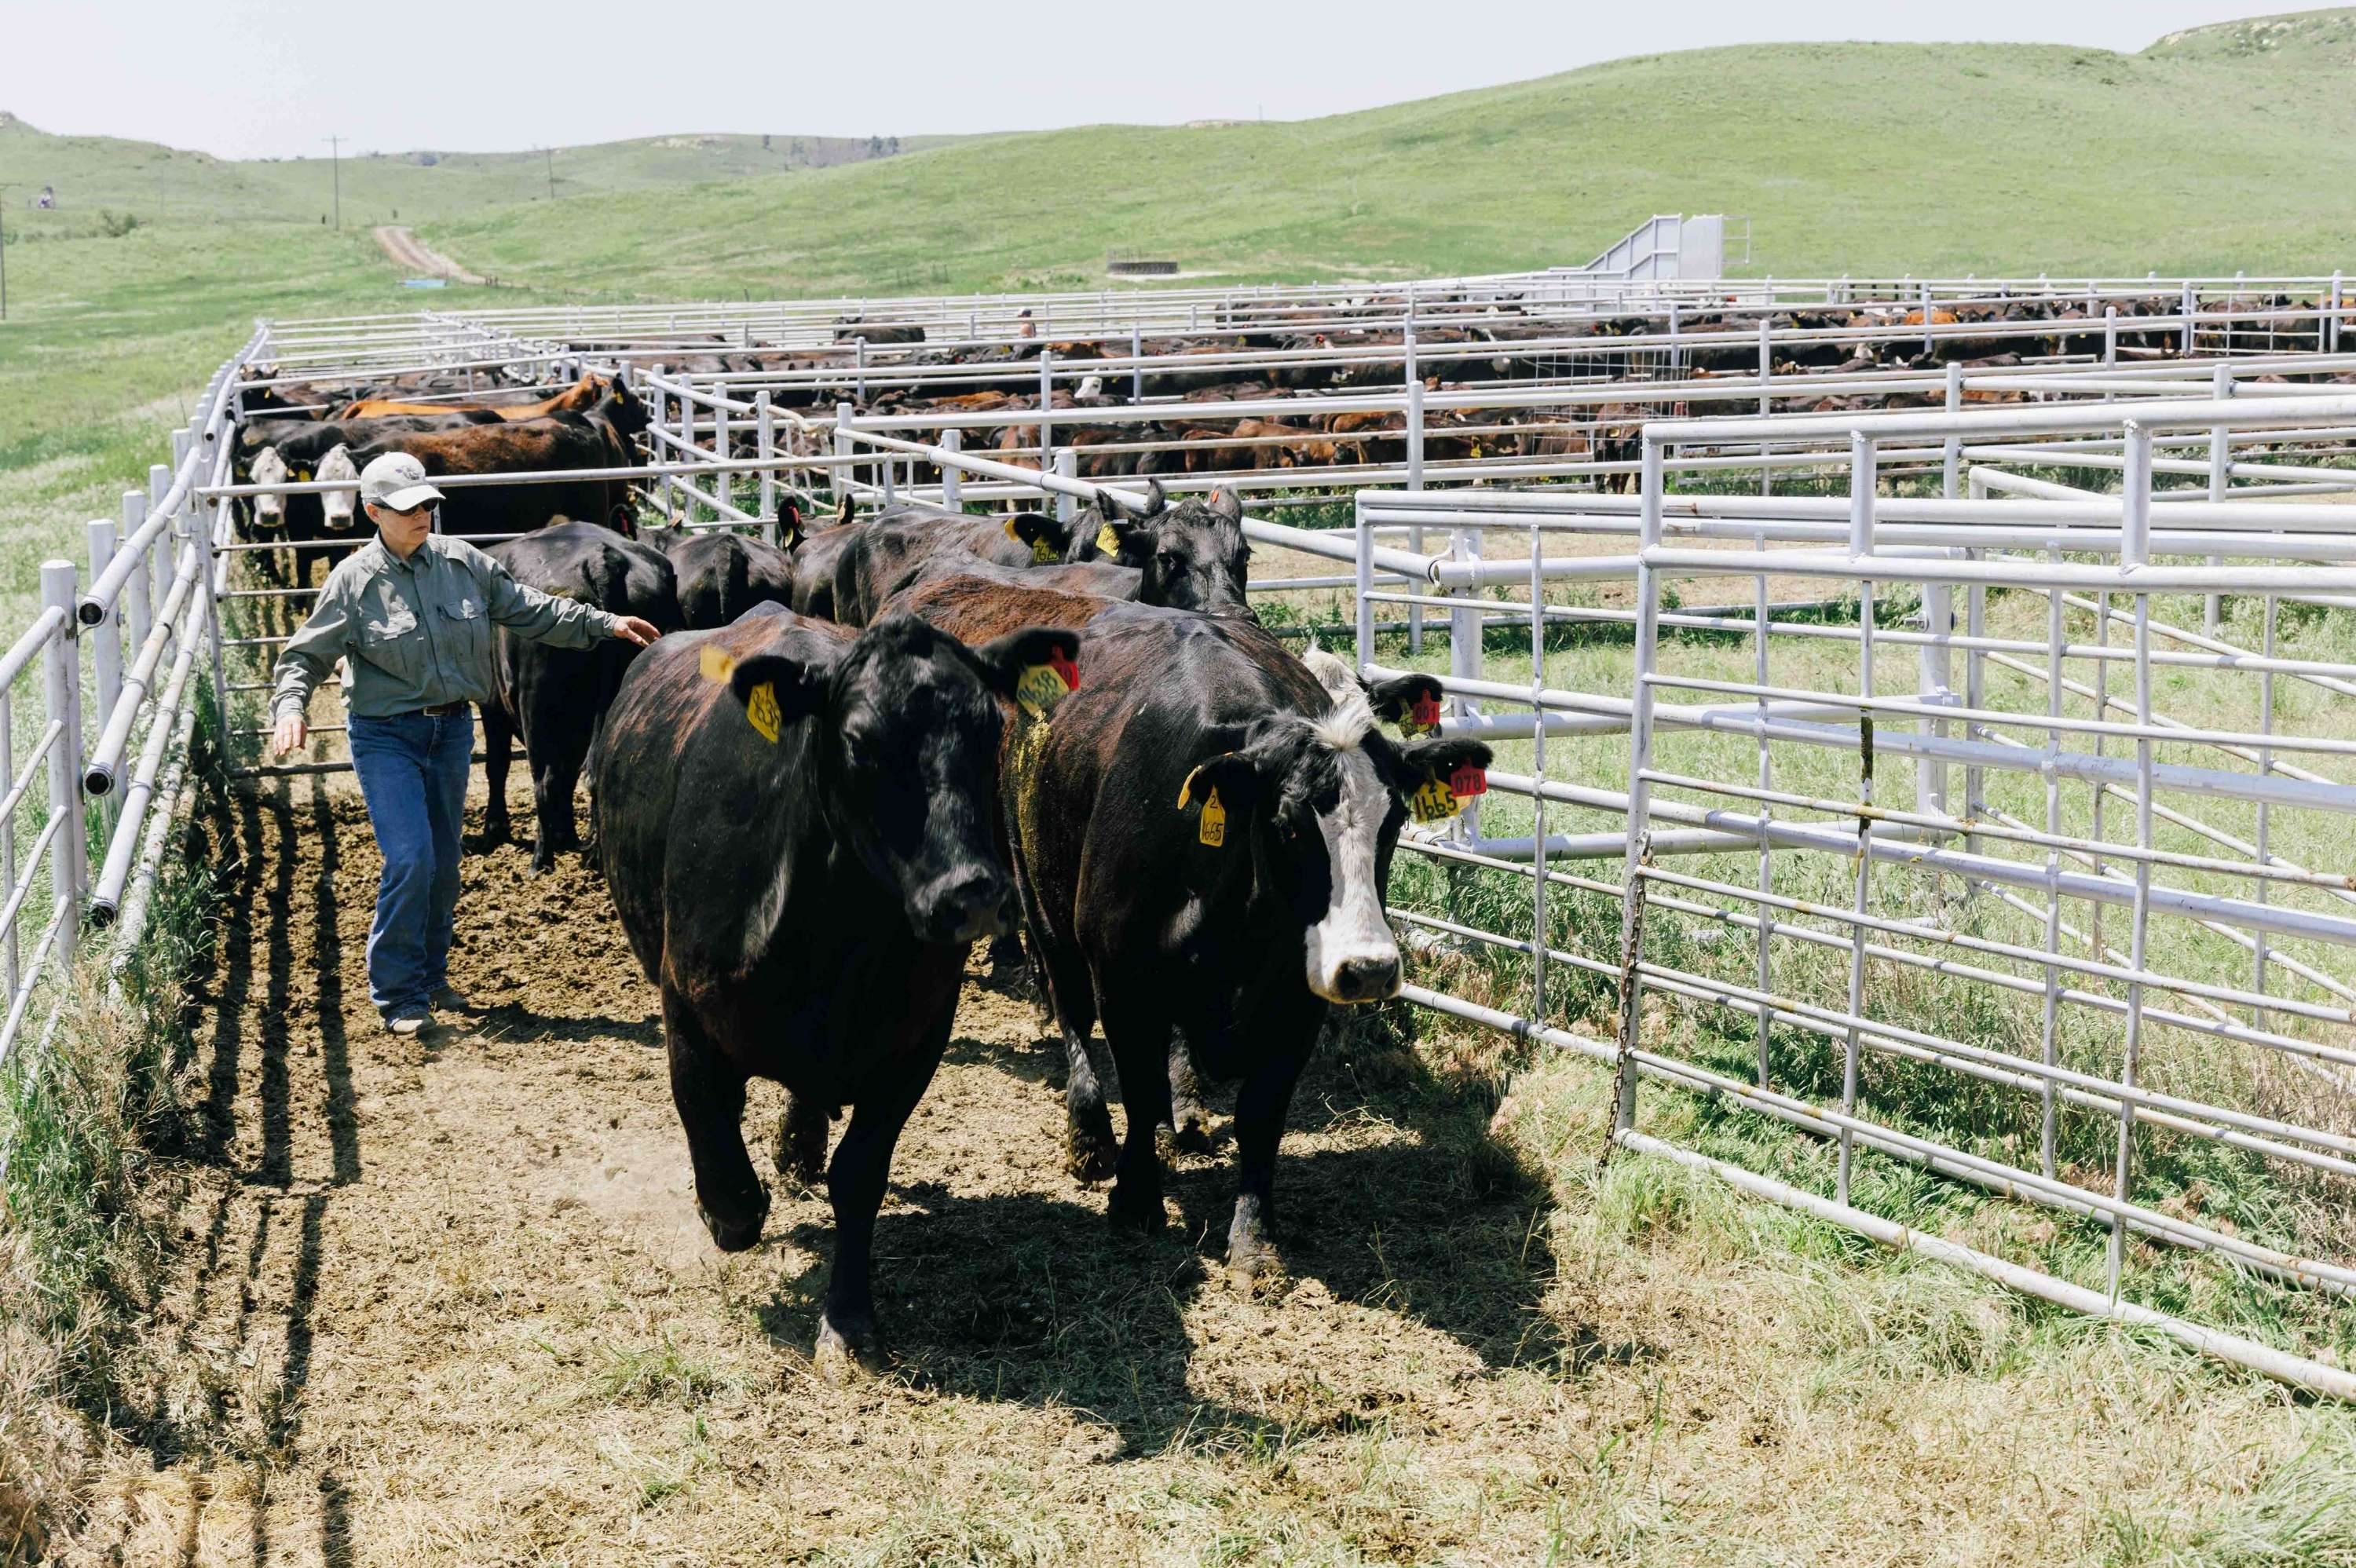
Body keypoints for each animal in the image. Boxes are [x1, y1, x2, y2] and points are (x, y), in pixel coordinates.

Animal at [479, 522, 681, 871]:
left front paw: (496, 828)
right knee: (590, 769)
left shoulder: (492, 704)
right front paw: (567, 835)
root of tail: (603, 557)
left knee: (544, 778)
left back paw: (541, 859)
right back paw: (593, 853)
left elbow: (498, 765)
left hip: (535, 703)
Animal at [593, 607, 1081, 1361]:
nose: (972, 892)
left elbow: (859, 1175)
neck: (834, 944)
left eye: (989, 729)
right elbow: (717, 1146)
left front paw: (849, 1315)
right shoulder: (685, 1004)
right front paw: (724, 1210)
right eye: (858, 743)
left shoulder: (916, 1040)